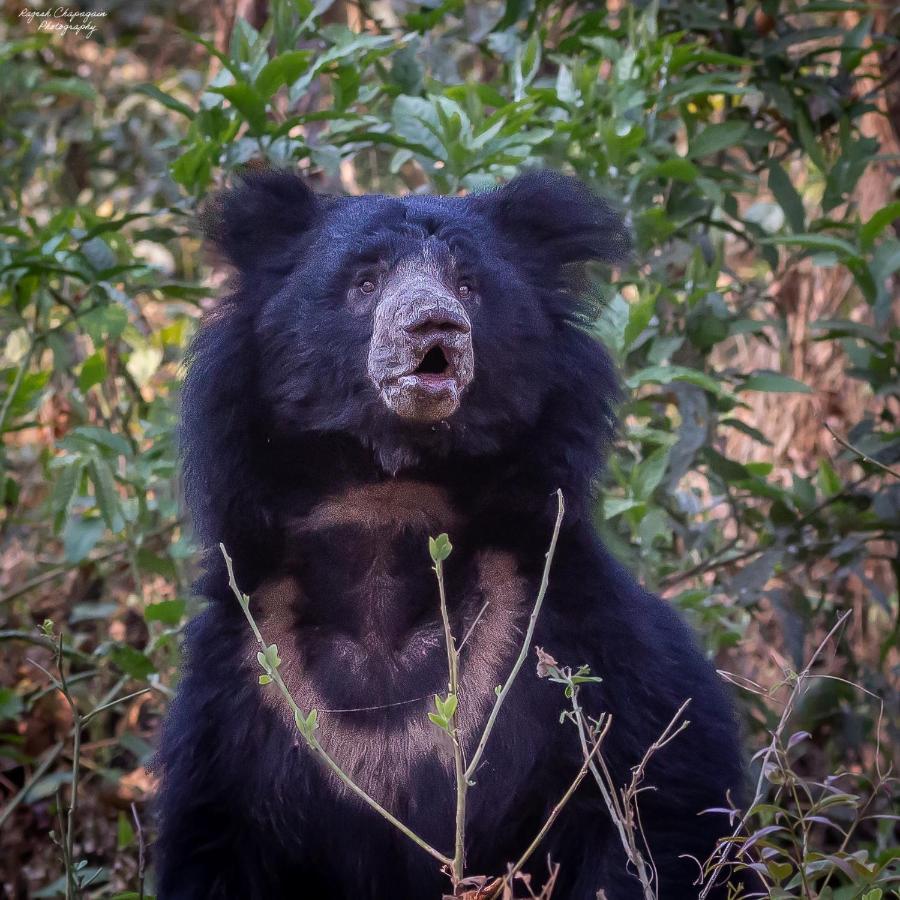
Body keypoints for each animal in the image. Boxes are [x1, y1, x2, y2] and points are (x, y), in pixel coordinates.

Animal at [155, 172, 744, 896]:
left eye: (468, 284)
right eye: (366, 280)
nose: (434, 325)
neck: (390, 505)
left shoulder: (578, 630)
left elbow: (664, 796)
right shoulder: (242, 686)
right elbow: (215, 838)